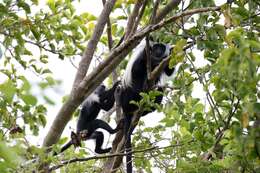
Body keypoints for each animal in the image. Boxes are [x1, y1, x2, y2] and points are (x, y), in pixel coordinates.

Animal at [120, 39, 177, 173]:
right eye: (156, 47)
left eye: (161, 48)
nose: (158, 51)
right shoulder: (143, 54)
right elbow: (137, 67)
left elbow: (169, 69)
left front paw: (172, 51)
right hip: (130, 95)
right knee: (137, 77)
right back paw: (144, 85)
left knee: (159, 89)